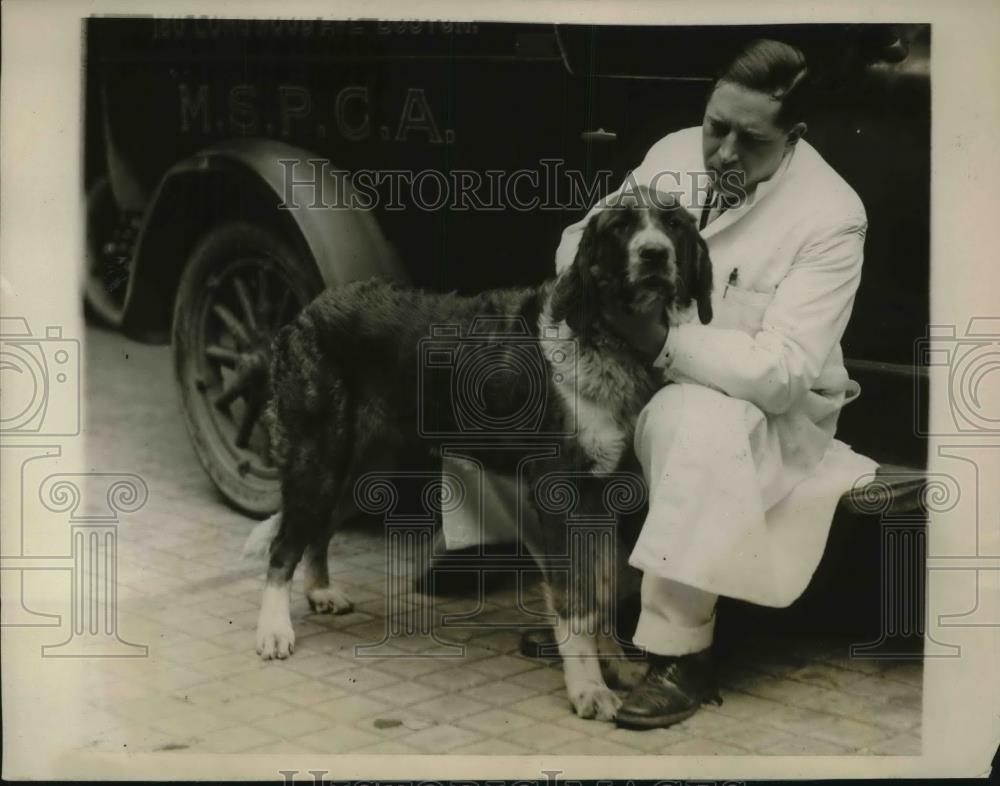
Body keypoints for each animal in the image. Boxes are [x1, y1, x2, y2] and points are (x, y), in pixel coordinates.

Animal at [254, 187, 716, 720]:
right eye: (621, 225)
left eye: (673, 224)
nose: (655, 254)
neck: (608, 342)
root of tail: (308, 311)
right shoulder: (563, 497)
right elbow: (578, 604)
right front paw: (588, 688)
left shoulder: (604, 497)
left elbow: (603, 587)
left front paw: (617, 667)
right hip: (321, 457)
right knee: (284, 544)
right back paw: (273, 629)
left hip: (369, 467)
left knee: (320, 527)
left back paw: (320, 589)